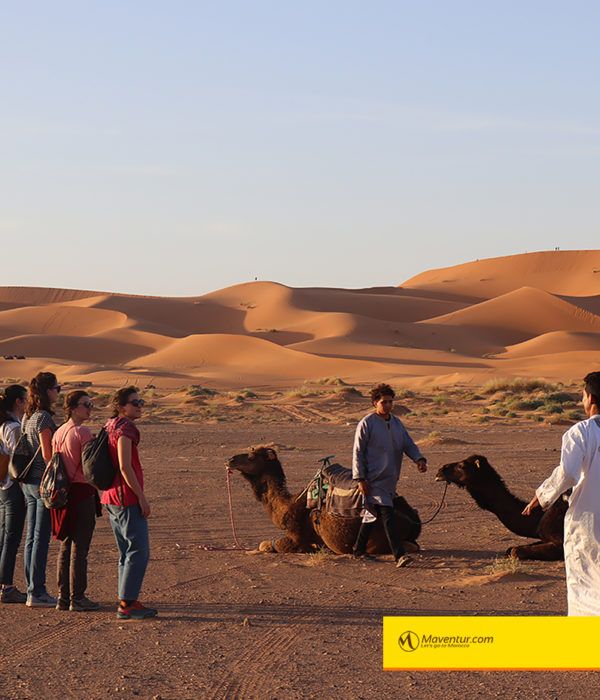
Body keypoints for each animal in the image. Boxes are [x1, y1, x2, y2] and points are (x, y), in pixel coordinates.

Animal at [226, 446, 422, 556]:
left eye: (252, 457)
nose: (230, 459)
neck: (286, 505)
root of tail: (414, 521)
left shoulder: (296, 537)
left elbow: (266, 545)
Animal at [436, 454, 568, 564]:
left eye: (462, 466)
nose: (440, 470)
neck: (539, 515)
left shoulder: (560, 541)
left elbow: (515, 551)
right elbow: (510, 549)